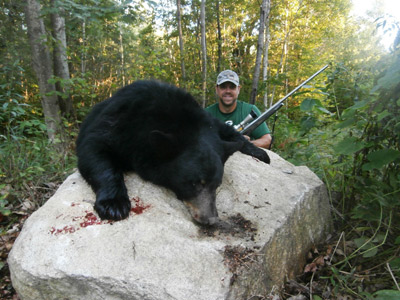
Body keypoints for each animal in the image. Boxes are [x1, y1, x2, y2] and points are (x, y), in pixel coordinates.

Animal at [76, 79, 268, 225]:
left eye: (217, 184)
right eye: (195, 183)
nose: (211, 219)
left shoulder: (207, 122)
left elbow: (231, 131)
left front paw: (259, 152)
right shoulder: (118, 122)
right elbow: (94, 149)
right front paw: (114, 204)